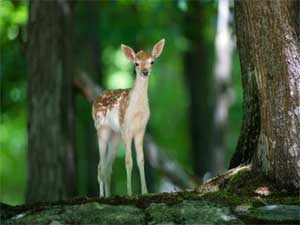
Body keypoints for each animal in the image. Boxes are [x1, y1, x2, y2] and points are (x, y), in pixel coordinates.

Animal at [92, 39, 165, 197]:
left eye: (152, 61)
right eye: (136, 63)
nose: (145, 72)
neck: (136, 110)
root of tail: (95, 100)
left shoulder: (141, 129)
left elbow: (141, 160)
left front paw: (145, 192)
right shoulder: (126, 128)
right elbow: (128, 161)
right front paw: (130, 193)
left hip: (115, 135)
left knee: (108, 167)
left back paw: (108, 196)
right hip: (102, 129)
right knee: (100, 166)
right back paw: (101, 196)